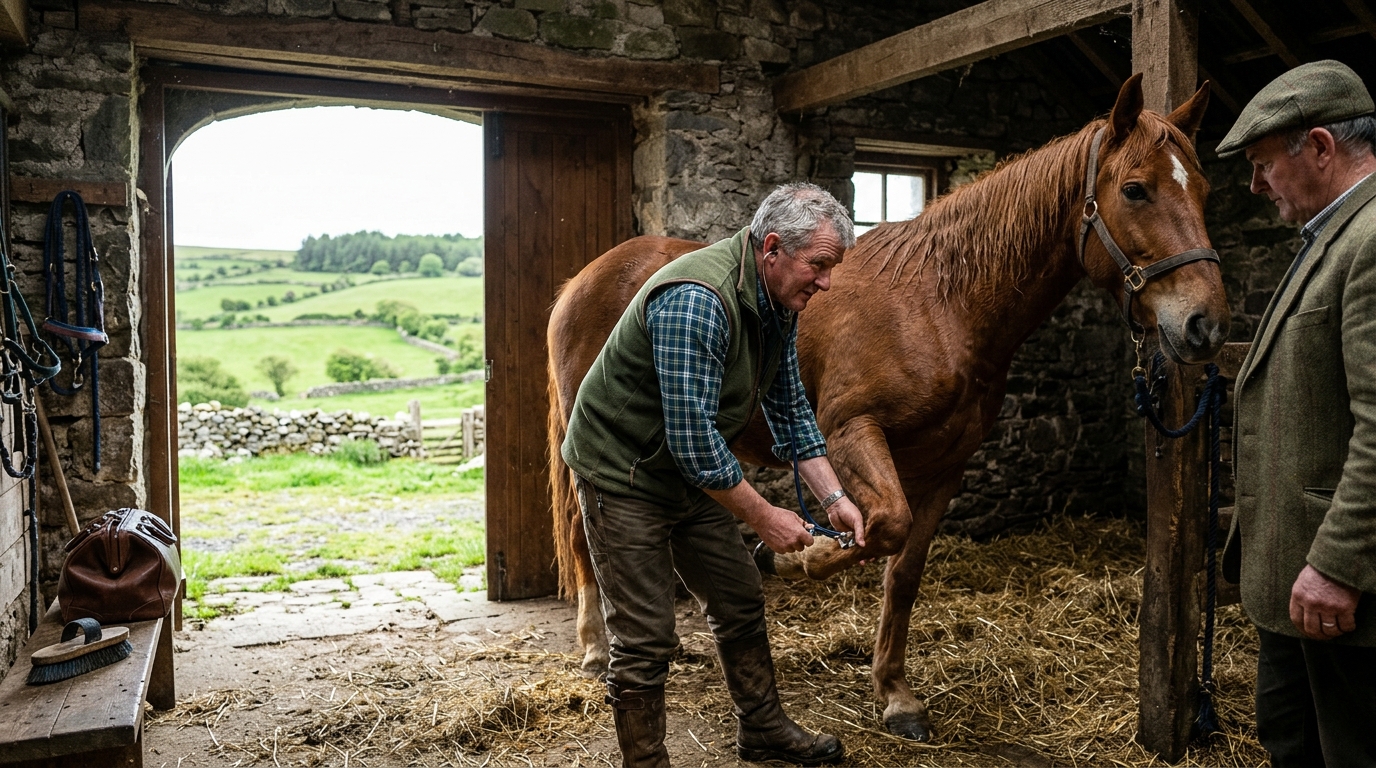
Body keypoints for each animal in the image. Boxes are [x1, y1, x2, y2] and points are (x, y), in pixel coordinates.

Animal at [546, 74, 1227, 741]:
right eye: (1135, 190)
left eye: (1204, 190)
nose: (1206, 324)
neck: (939, 305)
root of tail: (582, 279)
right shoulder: (851, 434)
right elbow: (883, 526)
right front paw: (796, 556)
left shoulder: (945, 467)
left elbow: (903, 571)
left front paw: (895, 694)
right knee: (585, 530)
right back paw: (595, 648)